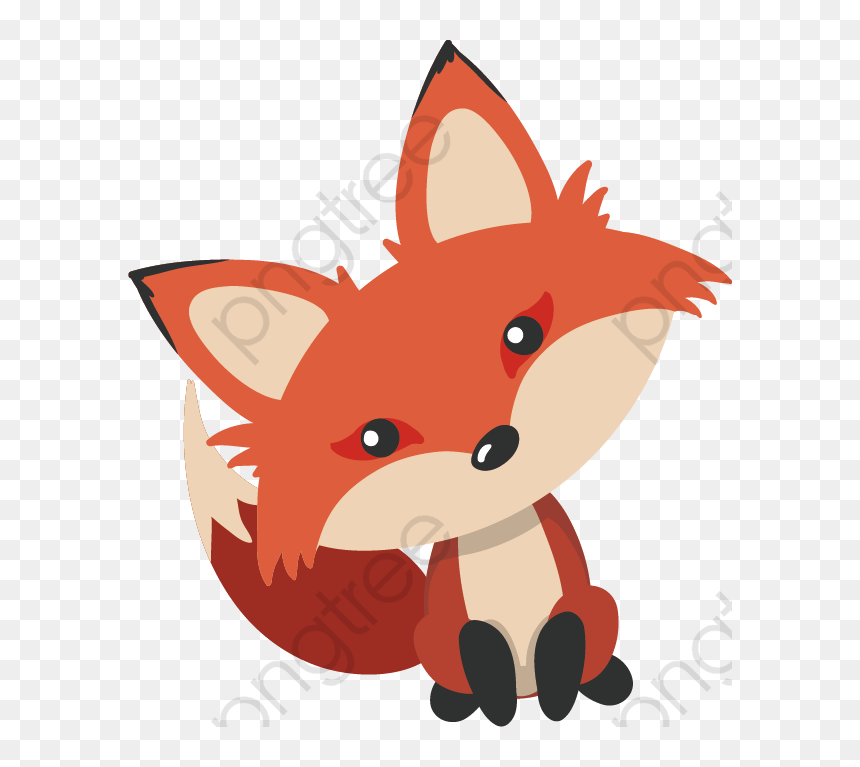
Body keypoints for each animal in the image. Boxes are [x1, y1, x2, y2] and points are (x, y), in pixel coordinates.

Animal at [129, 41, 731, 726]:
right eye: (376, 439)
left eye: (522, 335)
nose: (495, 445)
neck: (501, 540)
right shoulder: (458, 625)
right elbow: (483, 652)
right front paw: (500, 706)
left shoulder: (576, 603)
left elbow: (564, 639)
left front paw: (559, 697)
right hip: (434, 641)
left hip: (602, 609)